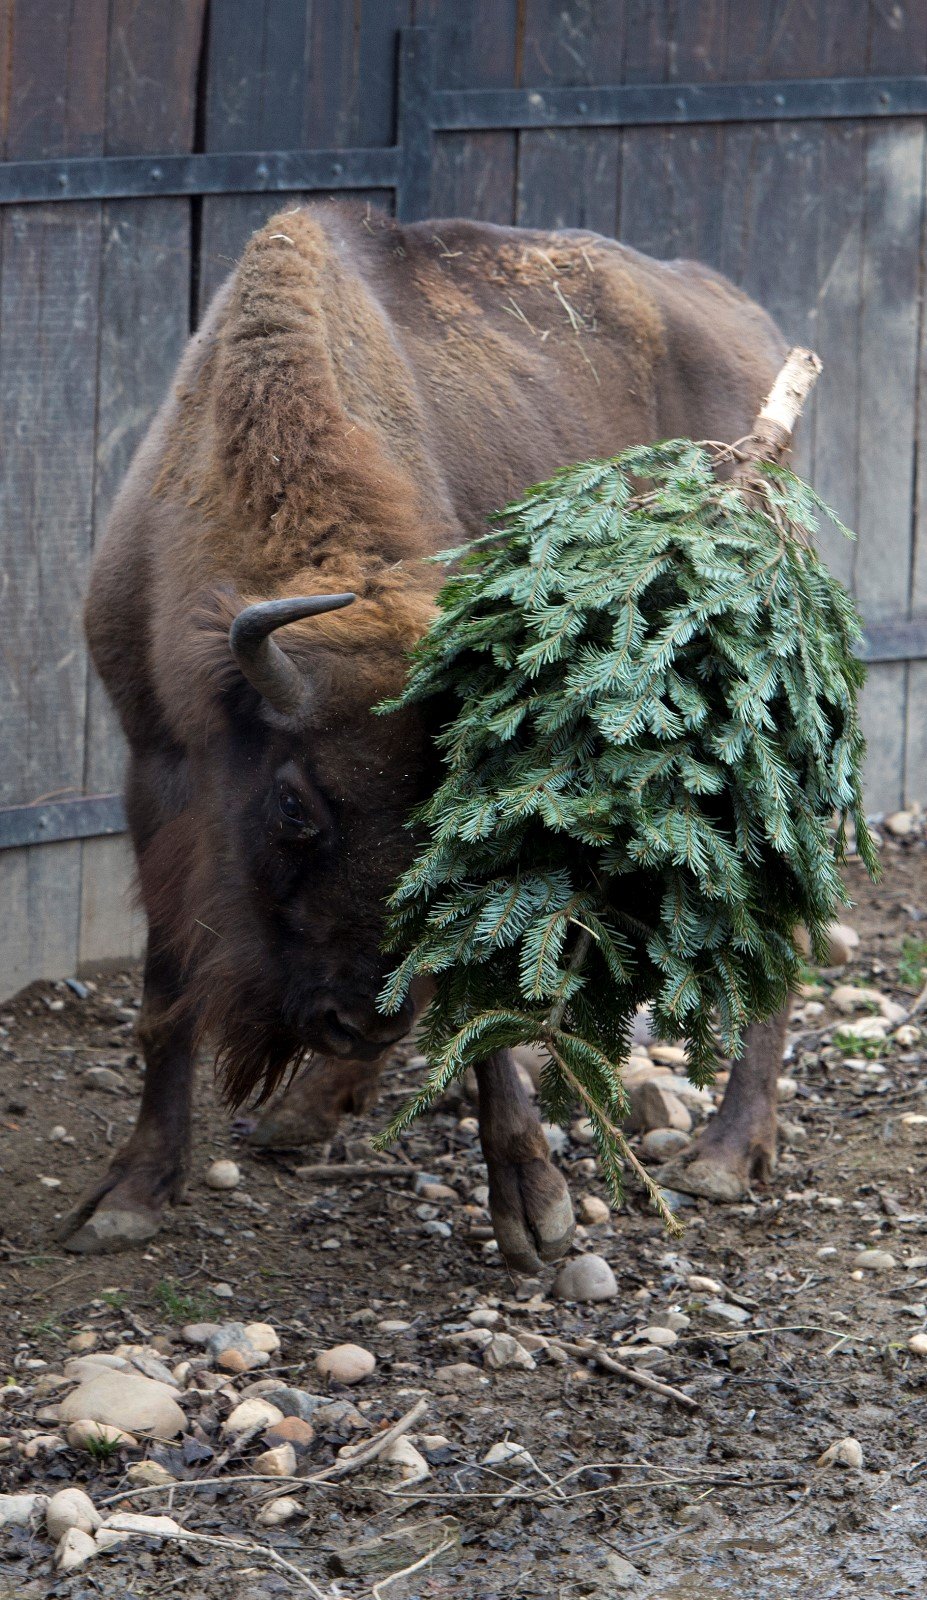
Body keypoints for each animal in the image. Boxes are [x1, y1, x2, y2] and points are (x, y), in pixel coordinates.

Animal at [65, 209, 790, 1260]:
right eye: (293, 803)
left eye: (450, 800)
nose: (356, 1018)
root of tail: (747, 320)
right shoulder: (152, 762)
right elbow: (166, 993)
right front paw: (128, 1195)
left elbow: (473, 994)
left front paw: (536, 1207)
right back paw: (308, 1112)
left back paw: (726, 1156)